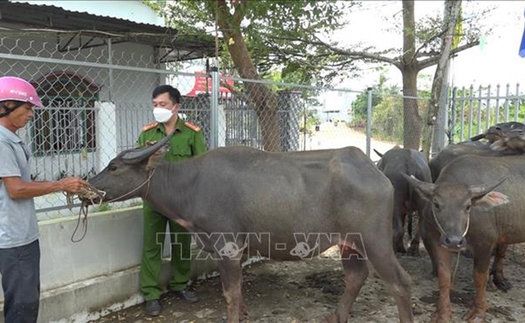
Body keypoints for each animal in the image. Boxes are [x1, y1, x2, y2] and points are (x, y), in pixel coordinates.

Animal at [86, 135, 414, 323]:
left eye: (114, 167)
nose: (88, 188)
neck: (190, 185)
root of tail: (376, 171)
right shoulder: (239, 250)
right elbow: (239, 292)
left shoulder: (227, 248)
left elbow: (230, 293)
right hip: (349, 244)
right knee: (356, 276)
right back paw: (336, 315)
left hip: (375, 241)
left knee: (401, 282)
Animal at [402, 155, 524, 323]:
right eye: (436, 204)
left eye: (467, 206)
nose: (454, 241)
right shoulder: (437, 242)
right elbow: (444, 276)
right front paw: (443, 313)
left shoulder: (484, 244)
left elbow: (479, 277)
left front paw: (478, 312)